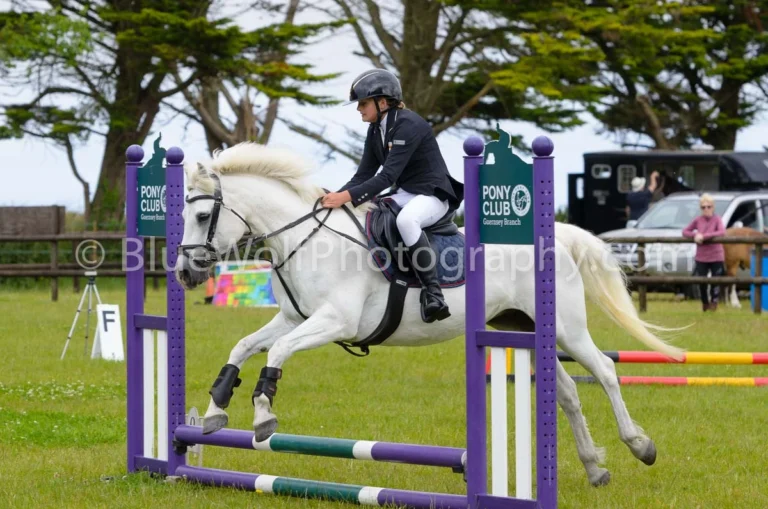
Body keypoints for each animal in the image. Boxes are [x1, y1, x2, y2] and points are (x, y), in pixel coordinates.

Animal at [176, 141, 684, 486]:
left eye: (201, 217)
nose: (184, 273)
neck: (305, 238)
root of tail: (554, 235)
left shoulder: (333, 322)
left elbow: (277, 353)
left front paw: (263, 416)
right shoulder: (295, 319)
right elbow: (243, 346)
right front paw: (215, 409)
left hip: (566, 330)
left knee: (605, 371)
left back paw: (641, 446)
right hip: (525, 327)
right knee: (568, 393)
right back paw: (594, 468)